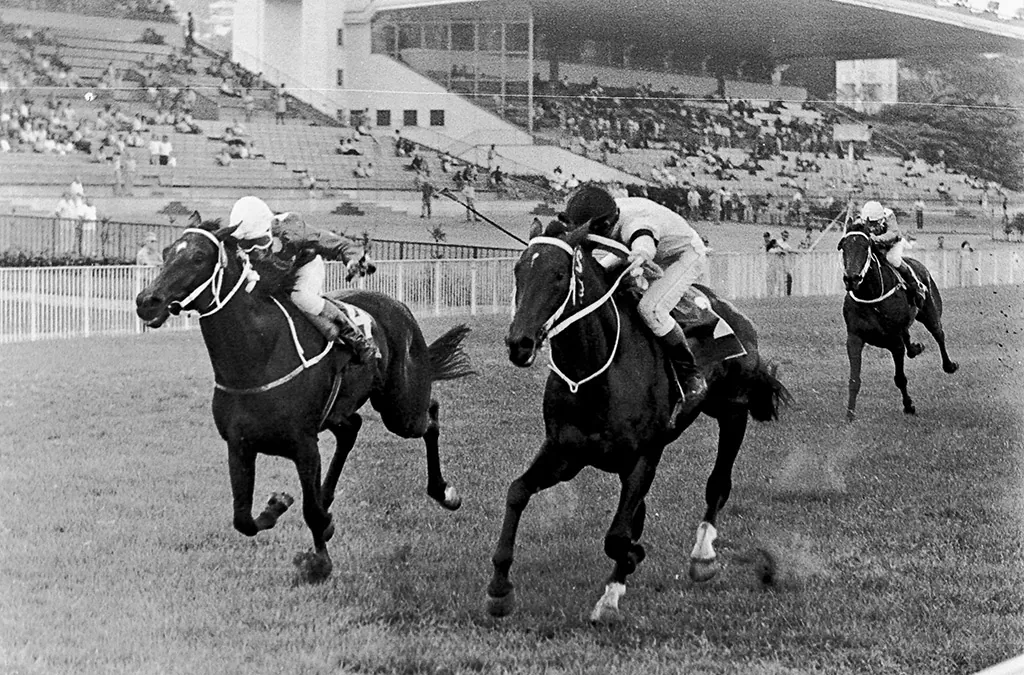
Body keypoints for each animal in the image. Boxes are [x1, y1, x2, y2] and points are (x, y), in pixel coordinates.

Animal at [134, 214, 473, 581]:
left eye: (198, 257)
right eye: (166, 252)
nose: (147, 301)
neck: (257, 357)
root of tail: (398, 306)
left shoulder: (304, 445)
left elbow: (310, 513)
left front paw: (319, 560)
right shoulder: (239, 445)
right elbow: (243, 519)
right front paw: (278, 505)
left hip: (401, 409)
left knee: (430, 416)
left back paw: (444, 492)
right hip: (345, 410)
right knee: (351, 428)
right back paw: (329, 495)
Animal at [485, 222, 790, 622]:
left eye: (559, 275)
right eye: (519, 270)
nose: (518, 343)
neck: (596, 374)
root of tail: (735, 316)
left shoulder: (644, 457)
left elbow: (618, 535)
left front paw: (618, 582)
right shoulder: (563, 453)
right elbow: (517, 492)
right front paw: (499, 588)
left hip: (733, 412)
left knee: (718, 484)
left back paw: (702, 556)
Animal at [839, 224, 958, 419]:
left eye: (865, 247)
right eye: (844, 247)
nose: (852, 279)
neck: (871, 296)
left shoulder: (895, 341)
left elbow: (900, 378)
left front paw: (909, 406)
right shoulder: (854, 338)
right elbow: (854, 379)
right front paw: (850, 415)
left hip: (930, 313)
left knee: (939, 334)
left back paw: (949, 365)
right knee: (909, 338)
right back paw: (916, 348)